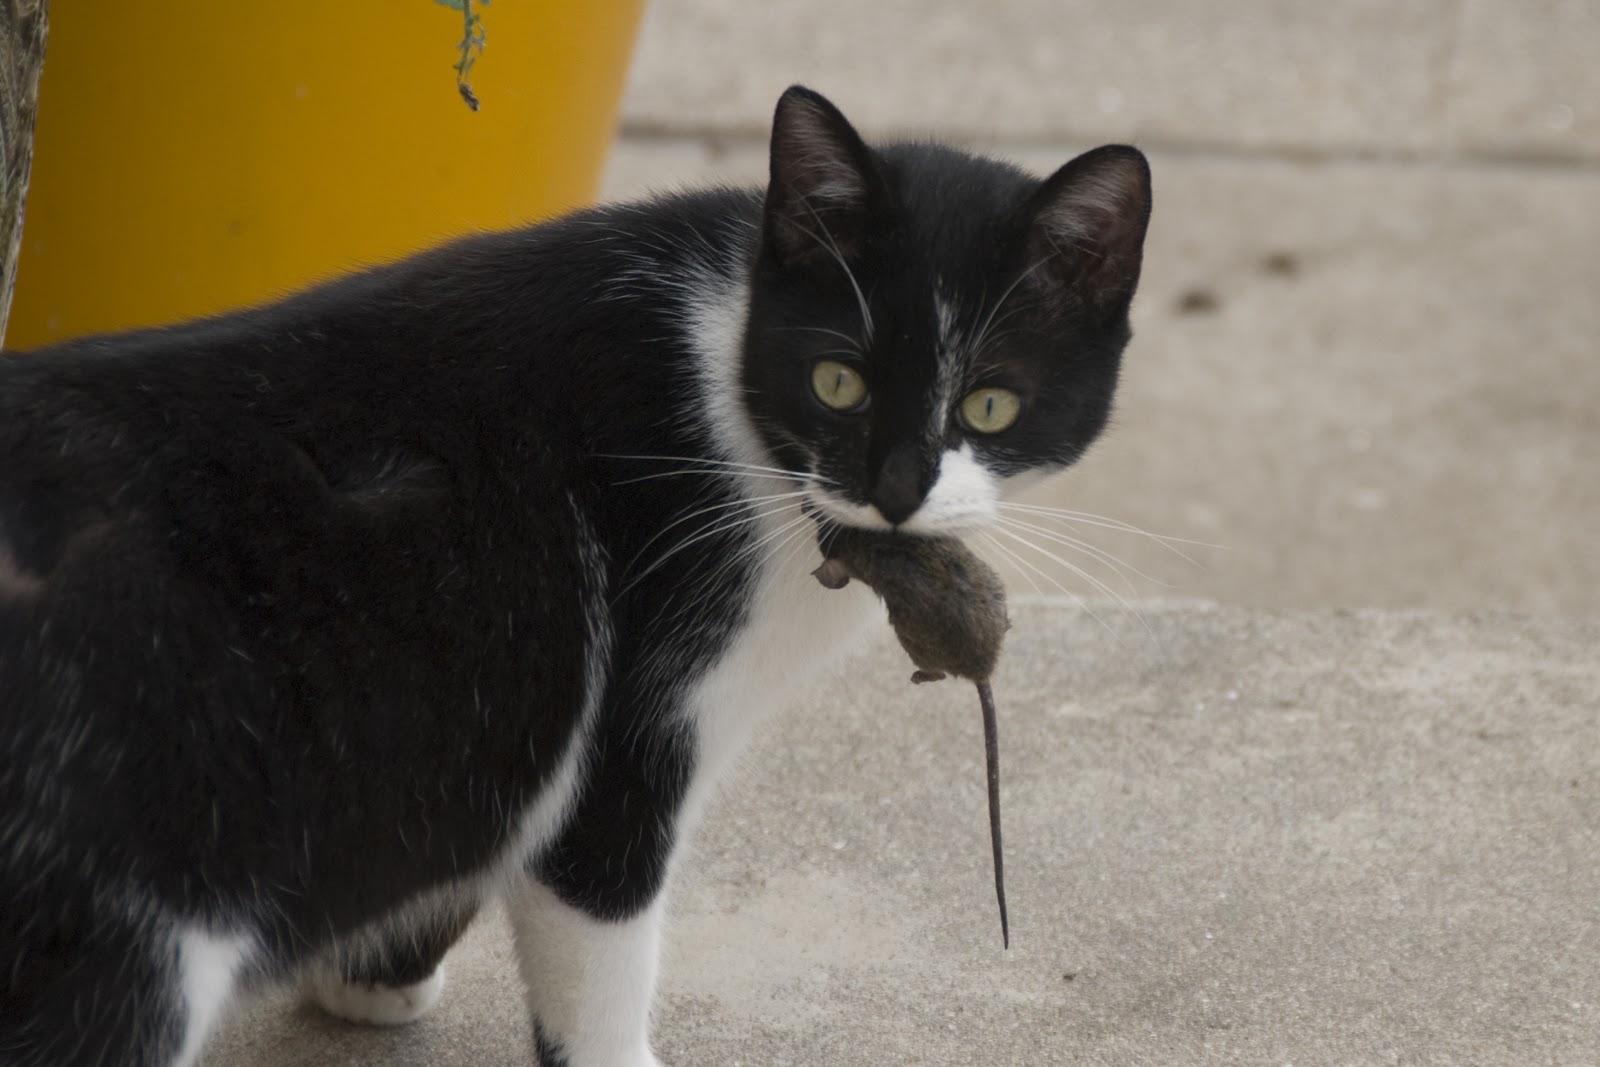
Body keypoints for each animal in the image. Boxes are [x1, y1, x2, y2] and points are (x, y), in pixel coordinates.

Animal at [0, 85, 1152, 1067]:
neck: (727, 385)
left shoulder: (497, 722)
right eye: (838, 380)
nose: (897, 490)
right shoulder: (635, 724)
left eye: (990, 403)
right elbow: (595, 923)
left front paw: (370, 976)